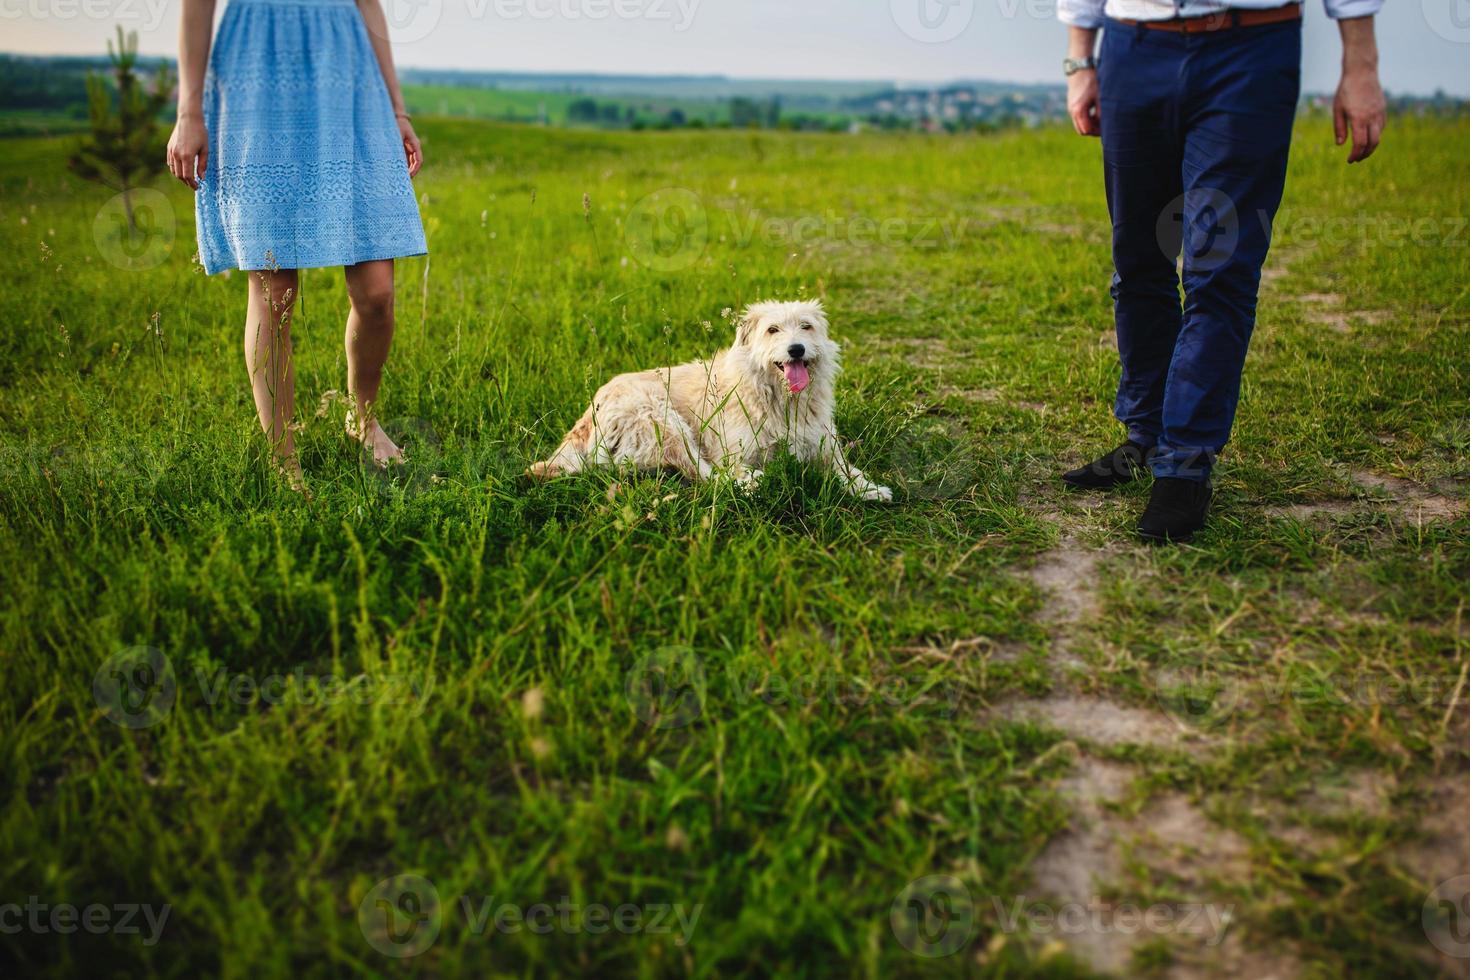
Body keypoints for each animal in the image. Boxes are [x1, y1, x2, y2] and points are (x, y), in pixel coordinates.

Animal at [532, 299, 893, 502]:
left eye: (806, 326)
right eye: (772, 330)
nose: (796, 349)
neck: (778, 399)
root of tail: (587, 414)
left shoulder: (823, 444)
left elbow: (845, 469)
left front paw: (868, 488)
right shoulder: (733, 453)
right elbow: (726, 468)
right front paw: (752, 478)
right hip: (662, 419)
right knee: (702, 474)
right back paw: (754, 484)